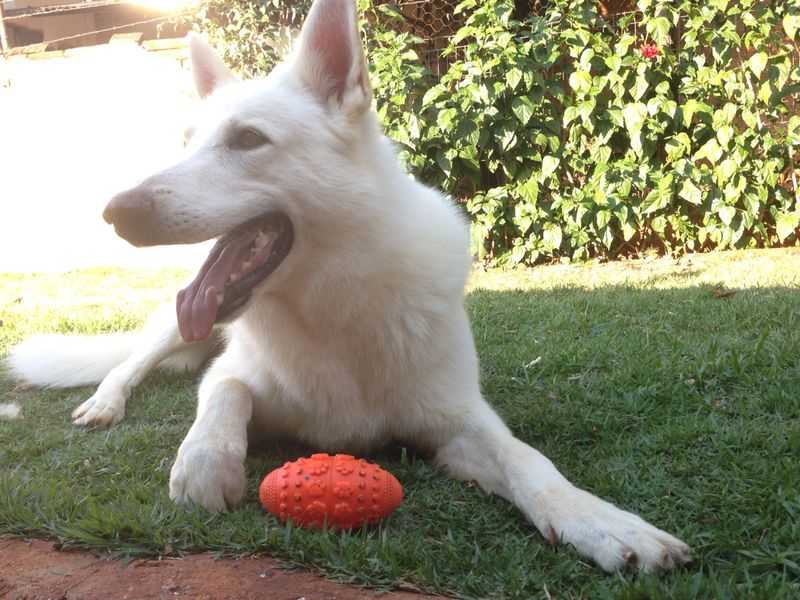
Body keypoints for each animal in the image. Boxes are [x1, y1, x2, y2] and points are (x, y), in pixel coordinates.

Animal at [4, 0, 688, 572]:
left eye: (247, 139)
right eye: (187, 144)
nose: (115, 212)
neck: (330, 303)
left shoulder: (460, 422)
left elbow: (530, 461)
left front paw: (601, 522)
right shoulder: (234, 374)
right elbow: (221, 397)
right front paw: (203, 463)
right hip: (173, 321)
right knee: (129, 364)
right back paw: (105, 402)